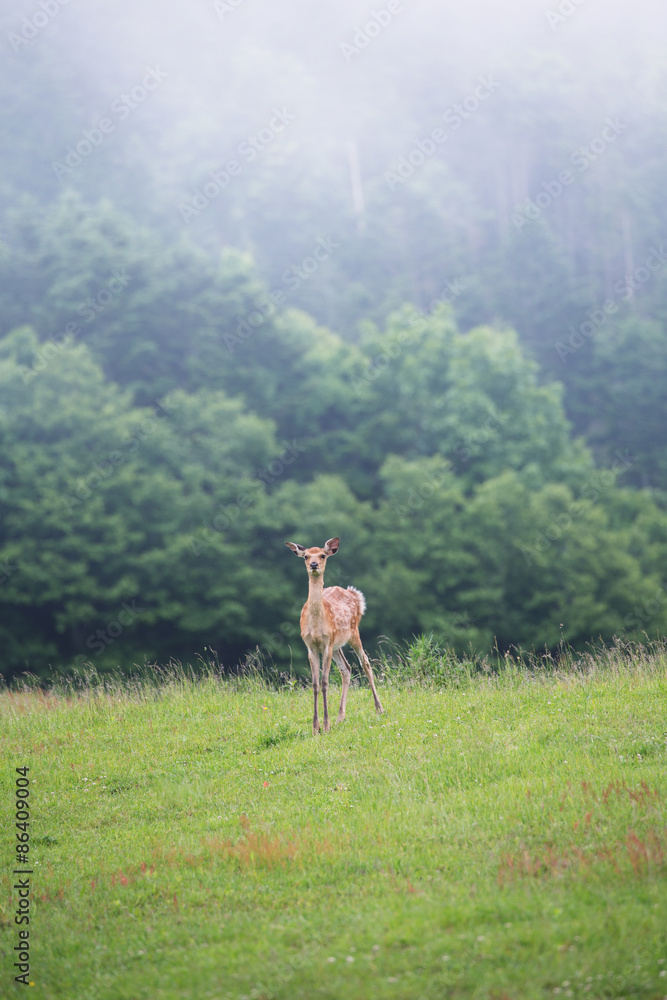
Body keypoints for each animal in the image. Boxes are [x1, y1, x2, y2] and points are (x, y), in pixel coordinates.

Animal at [285, 537, 383, 734]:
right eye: (306, 556)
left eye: (323, 555)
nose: (314, 564)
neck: (316, 626)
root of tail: (353, 593)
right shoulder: (311, 646)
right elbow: (315, 684)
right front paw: (315, 727)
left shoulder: (326, 644)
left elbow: (324, 682)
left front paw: (325, 725)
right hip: (337, 644)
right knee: (347, 668)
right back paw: (340, 717)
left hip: (353, 632)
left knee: (365, 662)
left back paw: (379, 709)